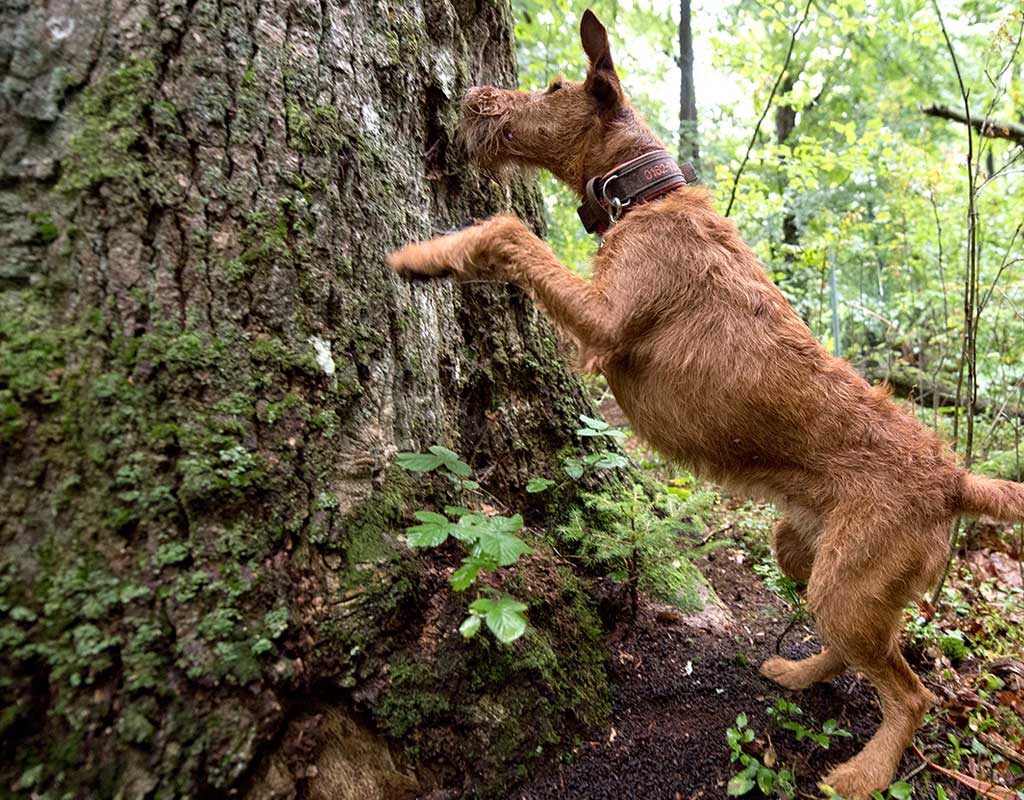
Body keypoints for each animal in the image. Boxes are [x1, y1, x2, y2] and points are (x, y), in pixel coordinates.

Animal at [385, 9, 1024, 794]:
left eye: (555, 86)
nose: (473, 96)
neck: (647, 197)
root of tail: (954, 477)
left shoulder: (603, 323)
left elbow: (508, 231)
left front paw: (420, 257)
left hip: (848, 584)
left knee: (911, 692)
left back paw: (863, 773)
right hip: (807, 557)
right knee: (870, 643)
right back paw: (801, 672)